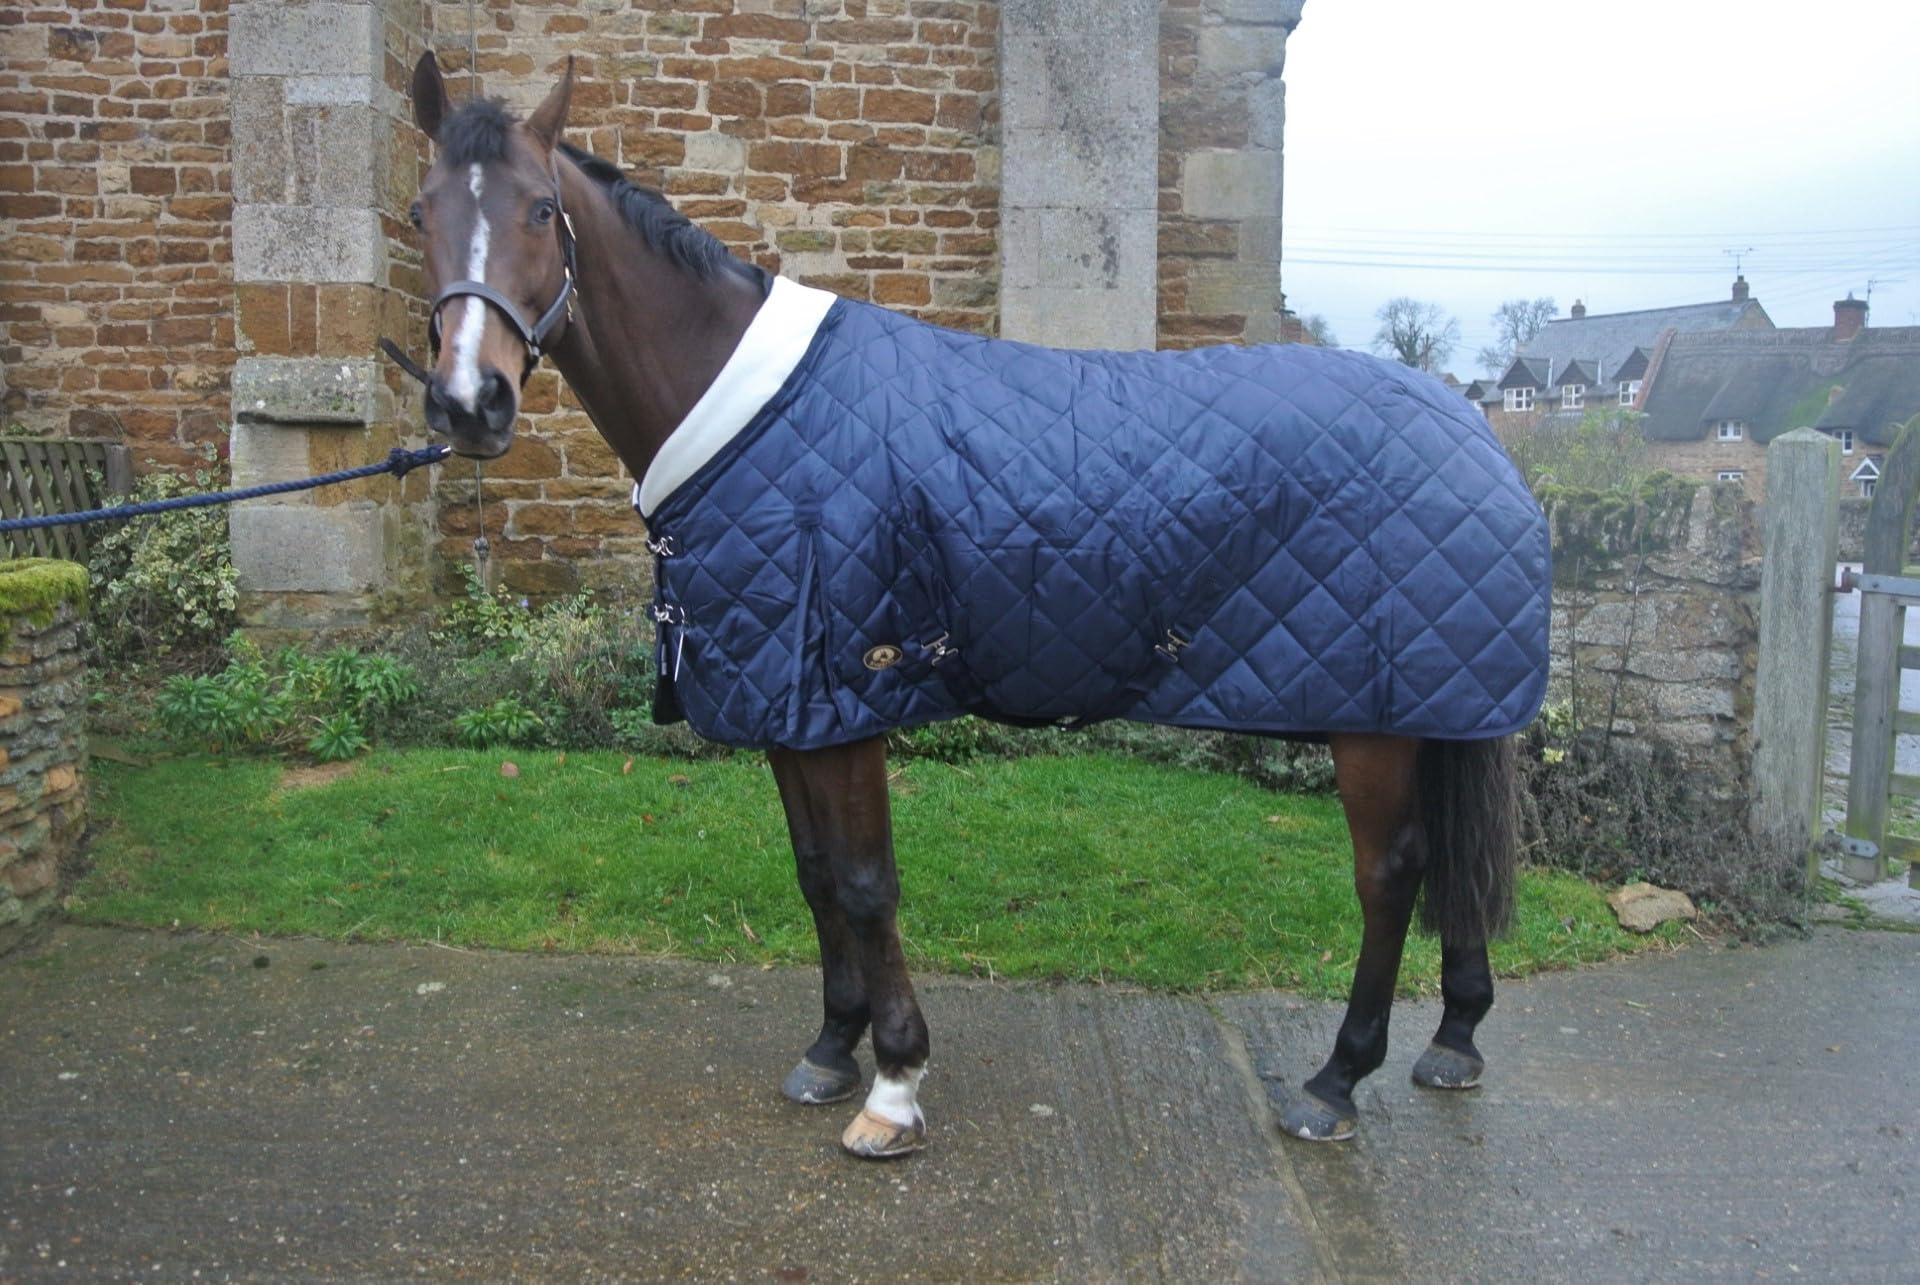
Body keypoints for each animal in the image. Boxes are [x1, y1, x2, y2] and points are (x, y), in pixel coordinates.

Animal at [397, 53, 1549, 1157]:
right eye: (419, 211)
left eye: (540, 209)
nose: (469, 402)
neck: (755, 414)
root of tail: (1470, 423)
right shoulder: (787, 704)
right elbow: (817, 875)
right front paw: (832, 1047)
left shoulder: (847, 699)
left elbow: (867, 882)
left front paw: (895, 1085)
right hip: (1436, 704)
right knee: (1446, 868)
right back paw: (1454, 1037)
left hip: (1374, 720)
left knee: (1391, 873)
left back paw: (1335, 1081)